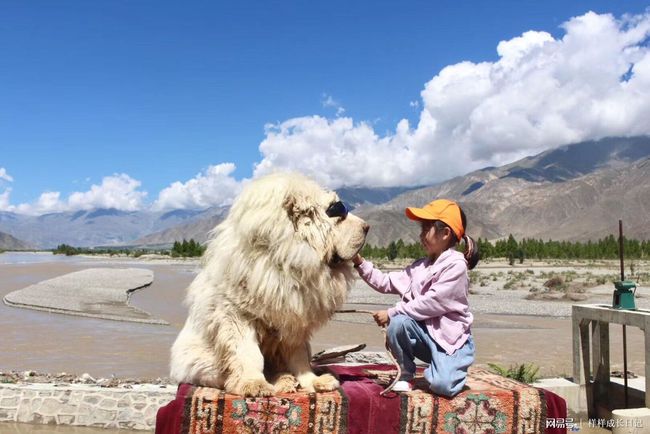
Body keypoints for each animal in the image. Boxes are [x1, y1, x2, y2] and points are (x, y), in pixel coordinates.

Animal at [170, 171, 368, 396]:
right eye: (336, 210)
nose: (367, 227)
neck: (283, 261)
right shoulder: (237, 316)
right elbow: (248, 353)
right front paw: (253, 384)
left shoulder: (294, 320)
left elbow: (299, 357)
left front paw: (313, 381)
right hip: (198, 359)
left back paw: (285, 380)